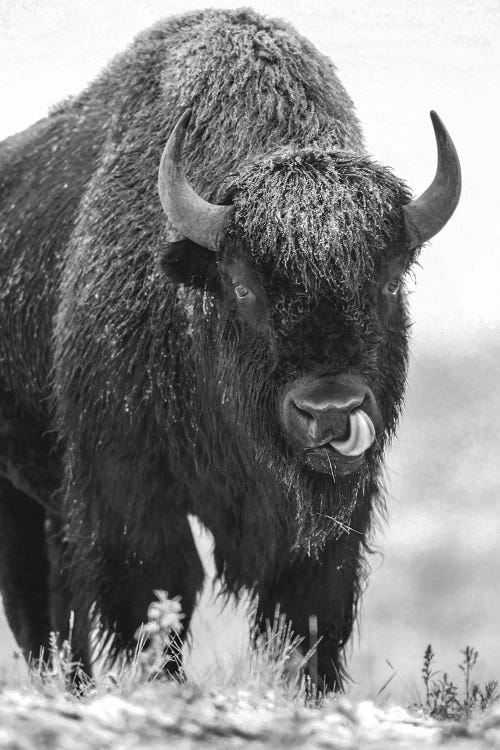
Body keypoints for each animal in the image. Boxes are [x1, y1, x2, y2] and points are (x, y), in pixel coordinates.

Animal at [0, 10, 460, 692]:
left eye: (386, 281)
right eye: (243, 286)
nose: (329, 412)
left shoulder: (334, 524)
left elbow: (309, 614)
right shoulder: (129, 490)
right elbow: (158, 592)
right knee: (38, 606)